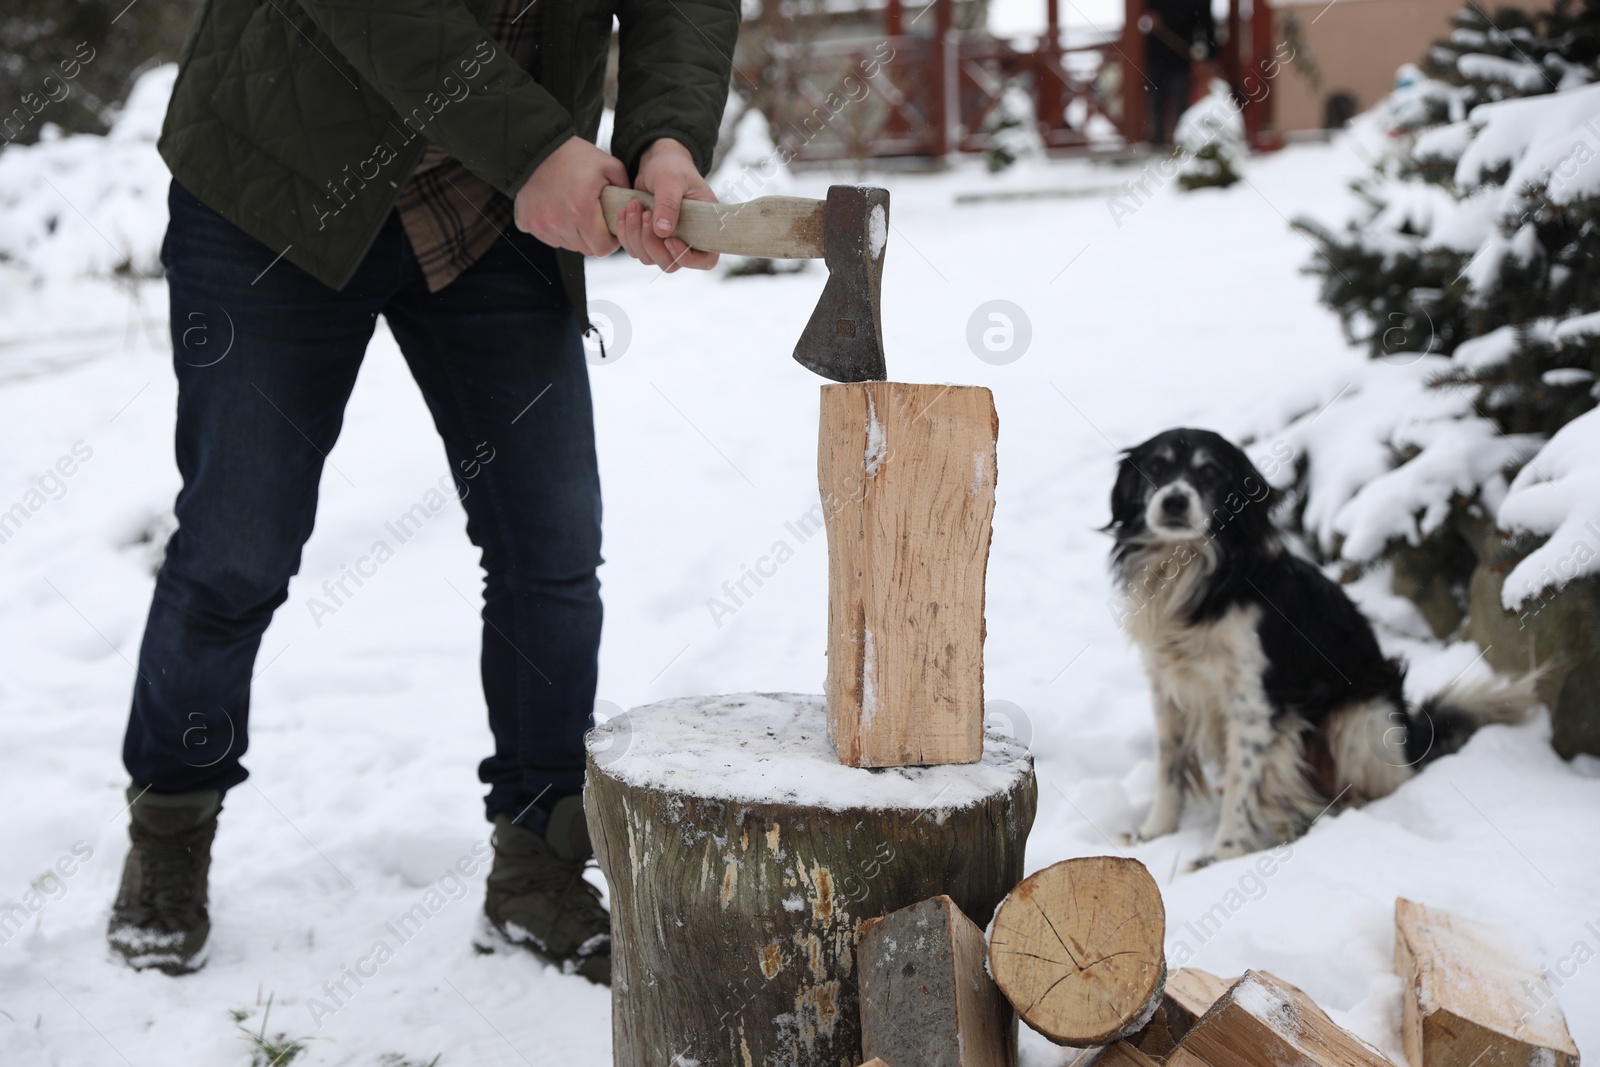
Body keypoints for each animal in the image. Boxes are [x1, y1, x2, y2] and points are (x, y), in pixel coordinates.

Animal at [1107, 425, 1529, 870]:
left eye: (1209, 473)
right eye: (1157, 466)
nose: (1173, 500)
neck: (1199, 578)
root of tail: (1414, 741)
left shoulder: (1255, 700)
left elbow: (1242, 782)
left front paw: (1223, 853)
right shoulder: (1167, 688)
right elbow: (1169, 768)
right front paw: (1155, 833)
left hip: (1361, 716)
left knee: (1381, 784)